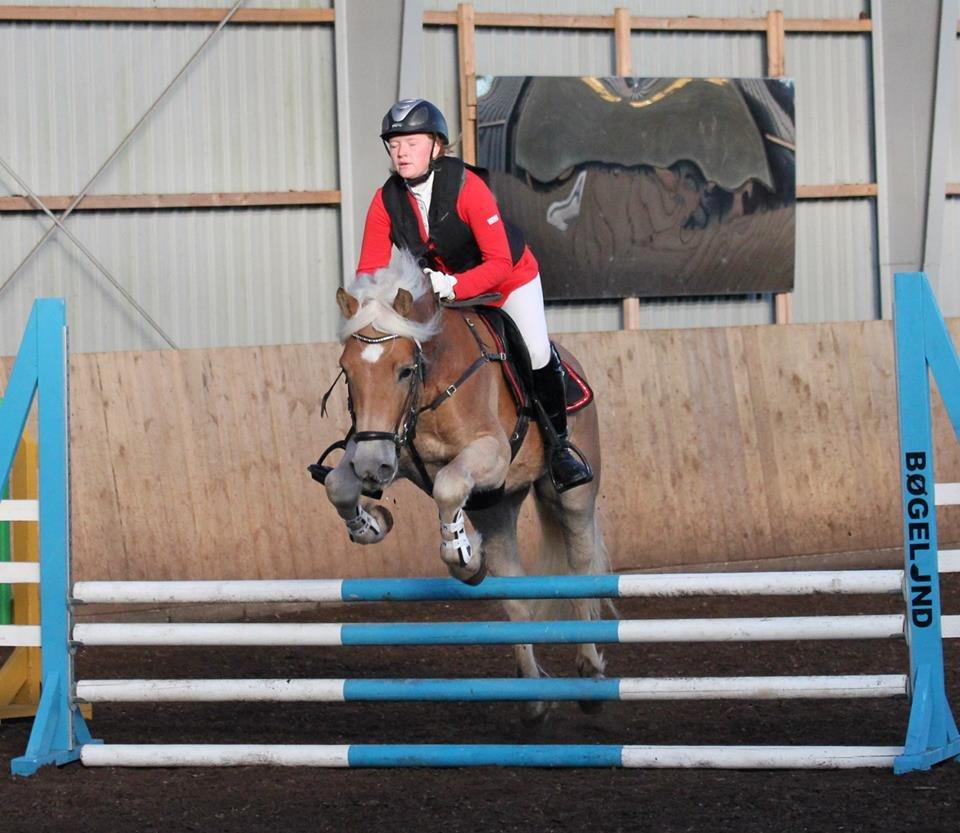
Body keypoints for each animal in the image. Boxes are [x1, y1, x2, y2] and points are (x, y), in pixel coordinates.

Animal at [320, 250, 608, 720]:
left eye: (405, 371)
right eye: (347, 371)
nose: (372, 470)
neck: (431, 385)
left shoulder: (490, 453)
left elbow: (448, 485)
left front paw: (460, 554)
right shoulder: (380, 445)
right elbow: (338, 487)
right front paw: (373, 522)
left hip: (571, 494)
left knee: (580, 565)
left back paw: (590, 673)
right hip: (496, 506)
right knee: (513, 586)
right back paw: (534, 696)